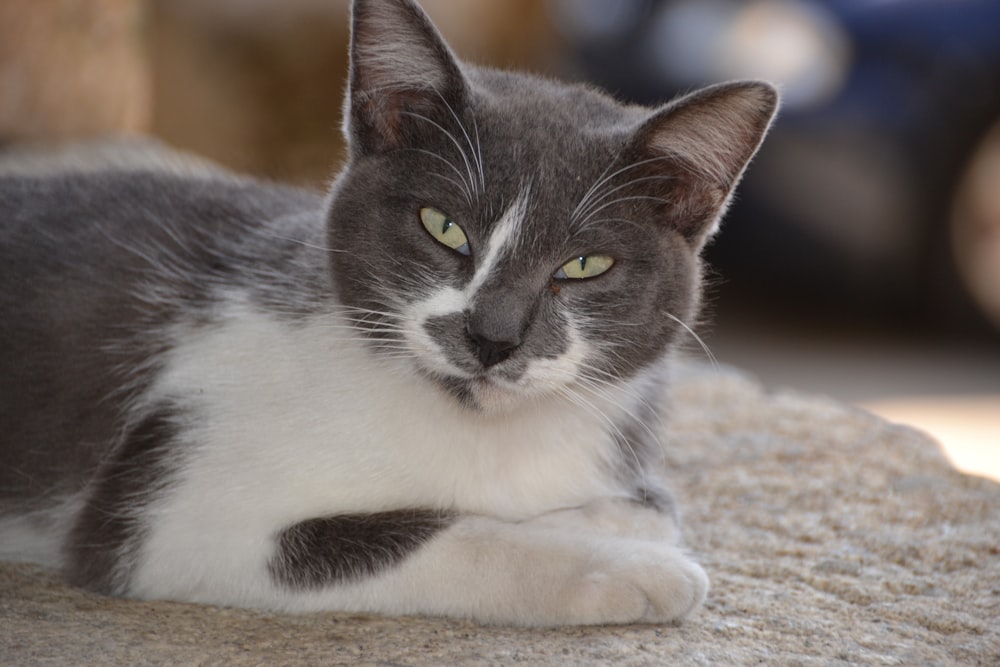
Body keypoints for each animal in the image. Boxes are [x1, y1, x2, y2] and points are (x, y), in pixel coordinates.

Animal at [0, 0, 776, 628]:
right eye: (444, 227)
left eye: (583, 266)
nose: (492, 336)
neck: (474, 429)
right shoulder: (170, 510)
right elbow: (429, 534)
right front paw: (625, 567)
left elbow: (647, 504)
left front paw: (614, 520)